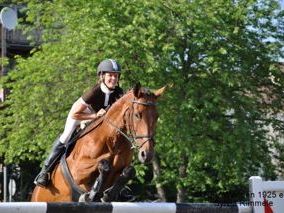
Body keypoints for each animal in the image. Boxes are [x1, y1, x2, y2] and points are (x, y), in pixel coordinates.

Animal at [31, 83, 165, 201]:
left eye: (157, 116)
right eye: (137, 115)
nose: (147, 154)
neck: (112, 141)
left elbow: (129, 171)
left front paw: (107, 196)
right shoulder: (78, 171)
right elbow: (104, 165)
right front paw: (93, 194)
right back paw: (42, 178)